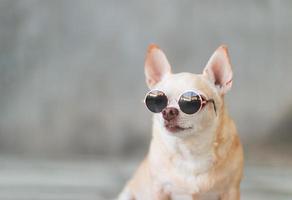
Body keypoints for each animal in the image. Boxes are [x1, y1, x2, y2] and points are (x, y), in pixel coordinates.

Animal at [118, 44, 244, 199]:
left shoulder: (231, 190)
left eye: (192, 102)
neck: (189, 150)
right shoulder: (159, 189)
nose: (168, 111)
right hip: (127, 193)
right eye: (157, 100)